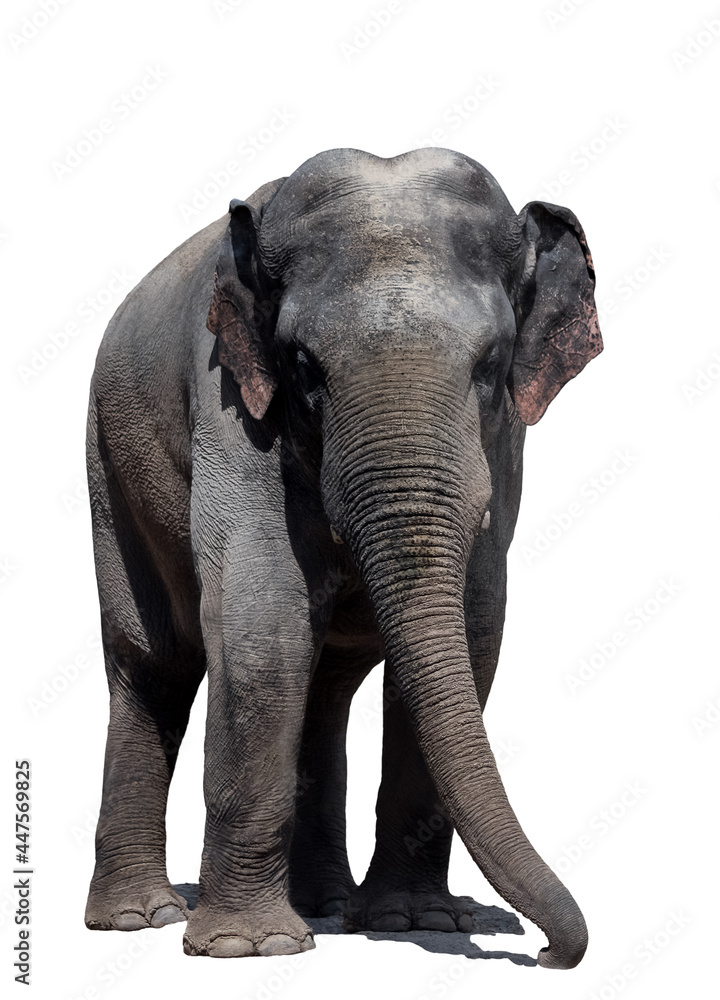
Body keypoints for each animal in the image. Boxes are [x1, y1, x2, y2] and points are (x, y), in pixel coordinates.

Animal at [84, 146, 602, 968]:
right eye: (303, 365)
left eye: (491, 364)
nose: (549, 954)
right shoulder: (231, 397)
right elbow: (263, 625)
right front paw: (252, 948)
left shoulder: (506, 444)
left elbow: (475, 630)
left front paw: (420, 922)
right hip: (109, 460)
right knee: (153, 663)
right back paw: (143, 918)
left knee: (325, 689)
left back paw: (328, 908)